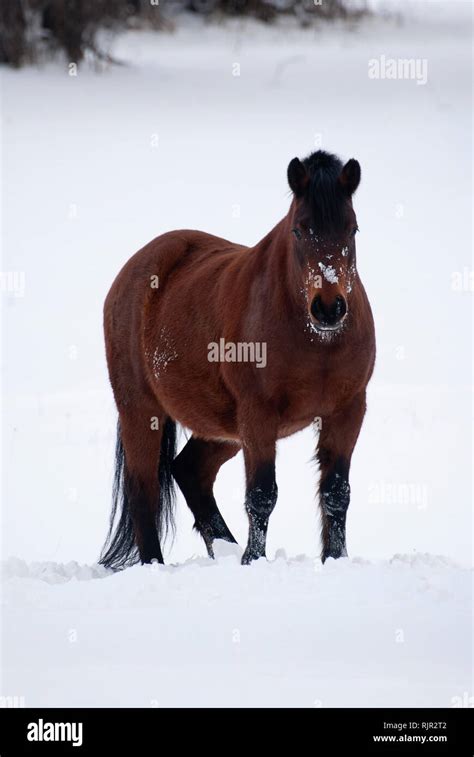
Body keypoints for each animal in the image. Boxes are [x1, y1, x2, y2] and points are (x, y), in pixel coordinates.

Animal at [99, 151, 374, 568]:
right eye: (299, 230)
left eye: (352, 229)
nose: (328, 308)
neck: (317, 342)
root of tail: (132, 270)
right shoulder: (258, 414)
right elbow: (261, 494)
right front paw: (253, 560)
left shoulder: (348, 411)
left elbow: (336, 493)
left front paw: (335, 559)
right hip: (143, 411)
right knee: (143, 489)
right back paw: (158, 564)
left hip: (223, 427)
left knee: (189, 470)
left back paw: (223, 547)